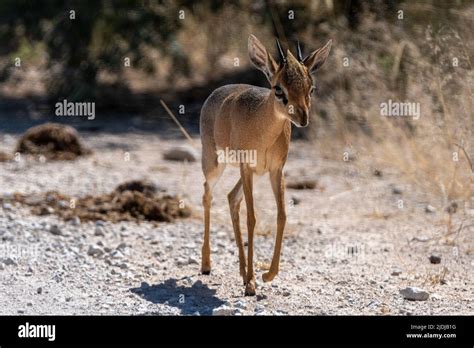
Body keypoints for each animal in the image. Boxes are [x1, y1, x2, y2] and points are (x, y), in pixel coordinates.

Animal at [198, 34, 332, 294]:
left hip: (252, 173)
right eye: (278, 88)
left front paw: (267, 275)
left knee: (231, 197)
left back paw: (241, 271)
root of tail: (214, 93)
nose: (302, 118)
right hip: (214, 163)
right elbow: (252, 218)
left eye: (311, 87)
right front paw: (252, 283)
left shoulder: (276, 171)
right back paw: (207, 265)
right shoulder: (247, 167)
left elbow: (282, 215)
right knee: (208, 193)